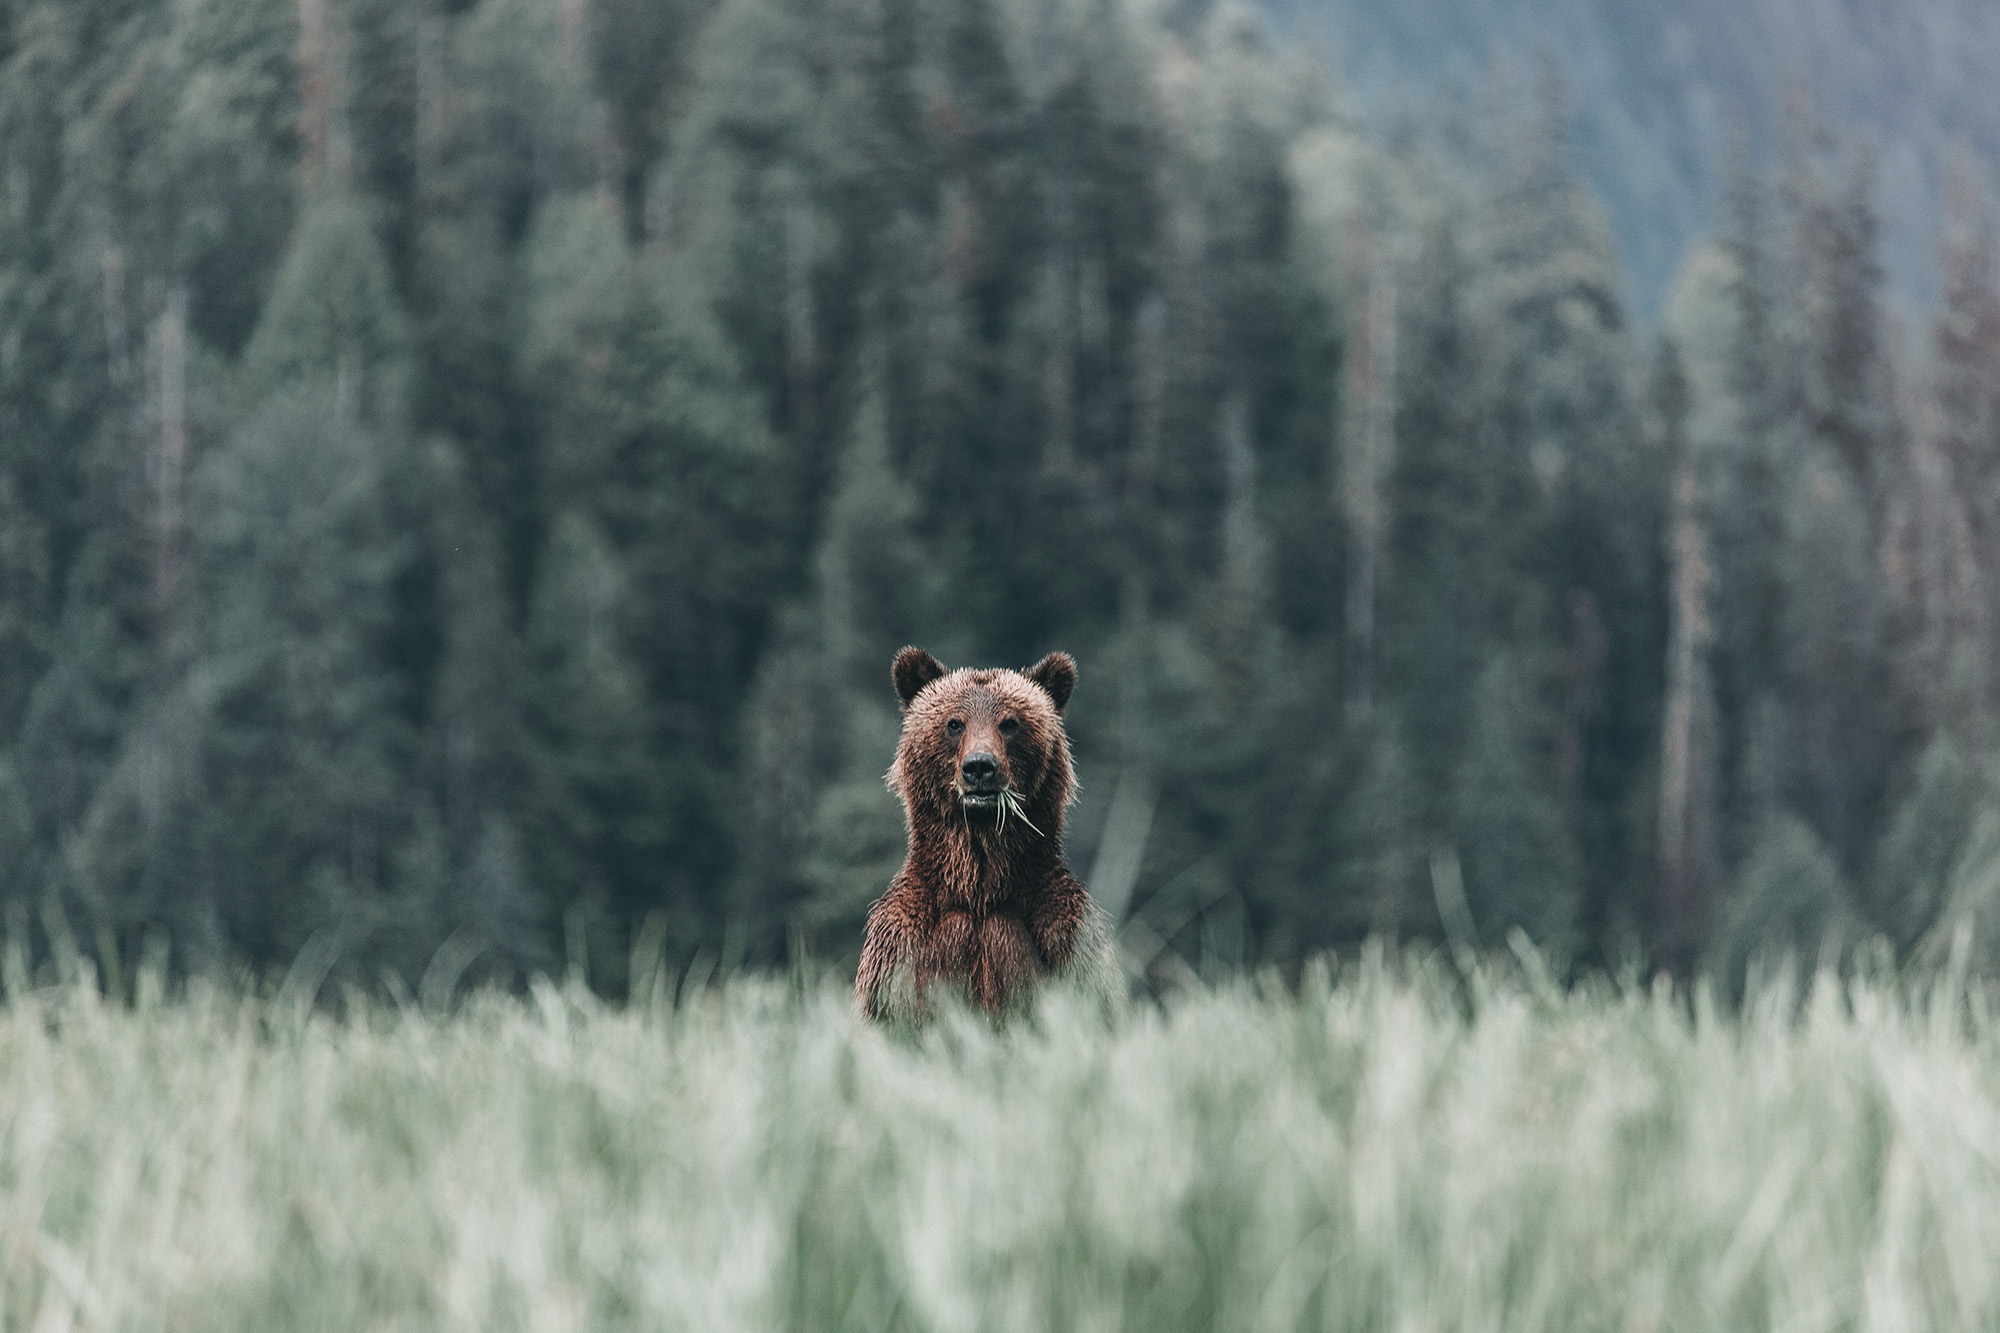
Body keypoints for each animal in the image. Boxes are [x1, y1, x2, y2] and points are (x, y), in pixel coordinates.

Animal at [855, 646, 1115, 1020]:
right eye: (954, 723)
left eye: (1010, 723)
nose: (979, 766)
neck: (979, 887)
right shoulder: (897, 947)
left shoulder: (1068, 936)